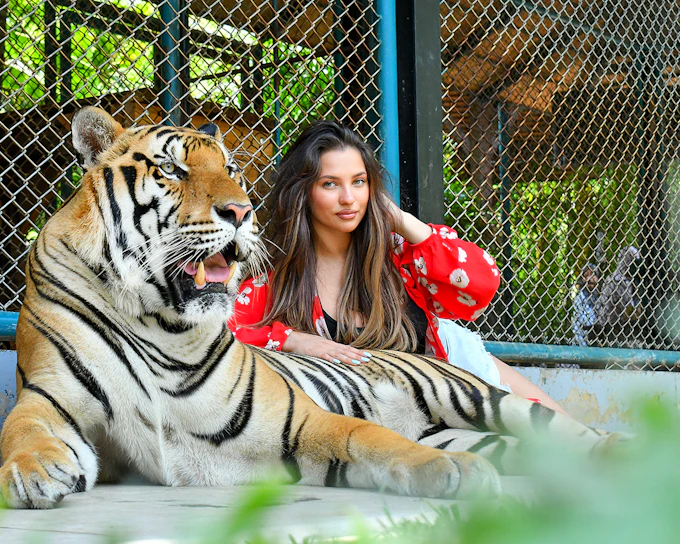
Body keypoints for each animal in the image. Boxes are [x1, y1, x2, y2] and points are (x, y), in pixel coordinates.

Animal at [0, 107, 621, 509]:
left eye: (232, 169)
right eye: (172, 170)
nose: (241, 212)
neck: (157, 319)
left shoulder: (298, 419)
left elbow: (370, 436)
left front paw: (452, 473)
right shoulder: (49, 395)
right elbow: (21, 429)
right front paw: (35, 471)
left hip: (481, 398)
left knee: (571, 432)